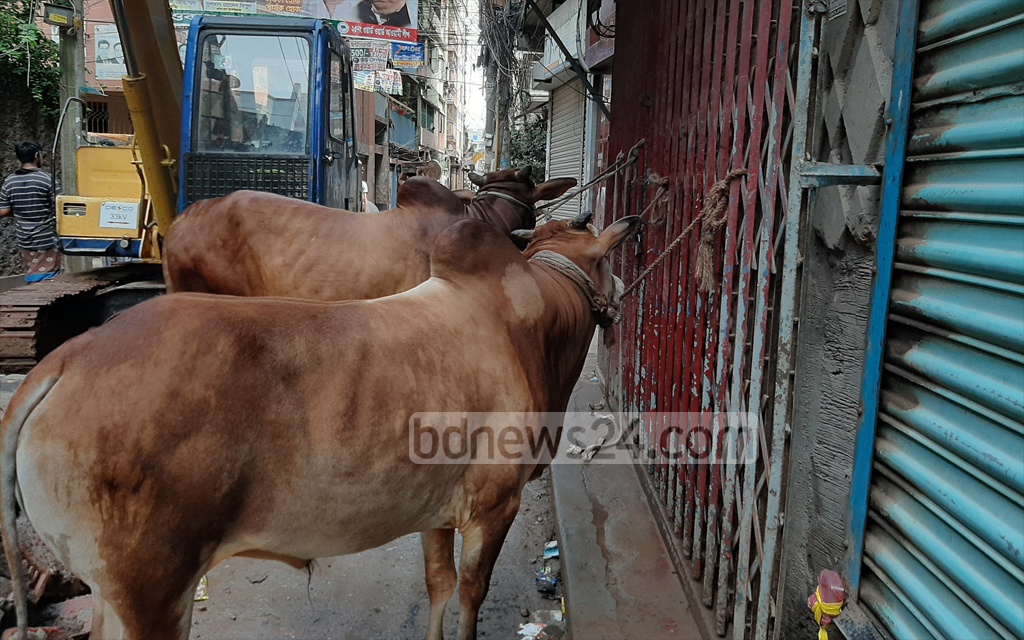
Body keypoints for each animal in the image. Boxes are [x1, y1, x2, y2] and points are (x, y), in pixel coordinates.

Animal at [2, 216, 638, 638]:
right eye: (609, 261)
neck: (535, 324)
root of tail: (65, 361)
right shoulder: (492, 506)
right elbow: (469, 596)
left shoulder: (437, 509)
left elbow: (438, 584)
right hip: (149, 596)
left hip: (112, 594)